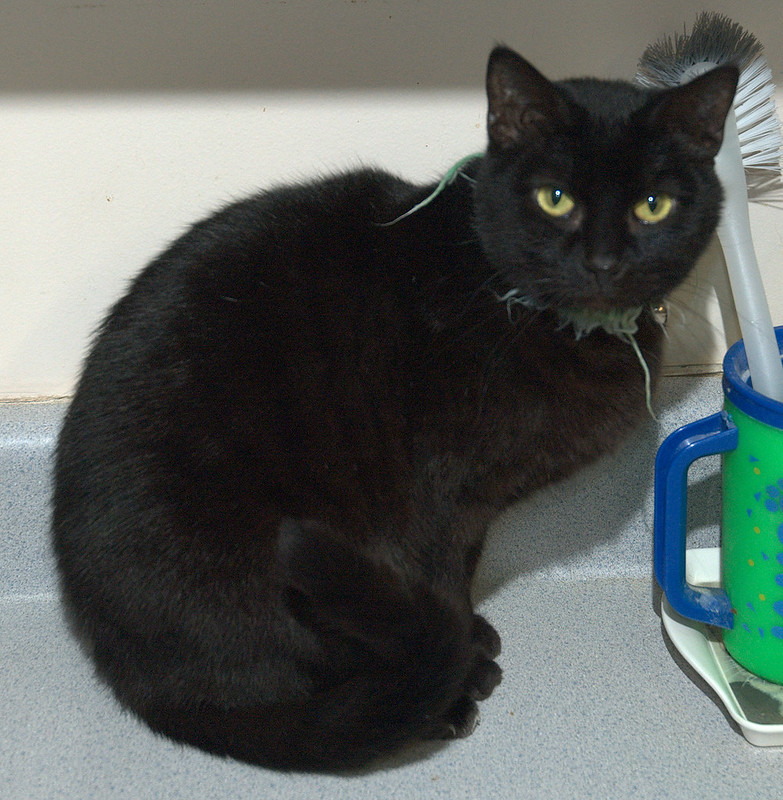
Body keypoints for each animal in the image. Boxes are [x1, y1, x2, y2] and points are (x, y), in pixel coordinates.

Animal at [52, 46, 737, 771]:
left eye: (653, 206)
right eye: (555, 199)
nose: (604, 262)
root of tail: (131, 680)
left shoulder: (472, 509)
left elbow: (462, 569)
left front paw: (469, 635)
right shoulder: (433, 499)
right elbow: (440, 580)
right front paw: (465, 656)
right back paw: (432, 699)